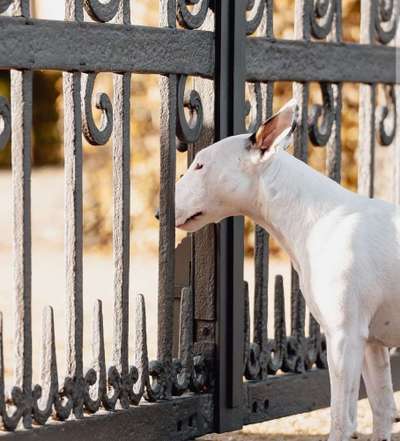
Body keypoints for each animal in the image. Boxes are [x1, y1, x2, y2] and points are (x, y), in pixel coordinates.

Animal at [176, 99, 400, 440]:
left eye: (200, 165)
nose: (160, 211)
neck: (319, 217)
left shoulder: (344, 337)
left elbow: (341, 420)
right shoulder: (373, 342)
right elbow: (383, 411)